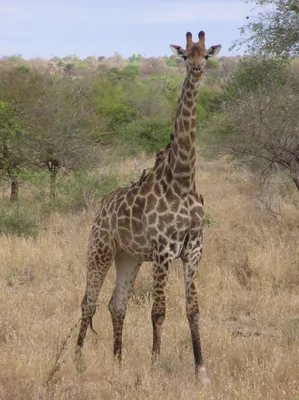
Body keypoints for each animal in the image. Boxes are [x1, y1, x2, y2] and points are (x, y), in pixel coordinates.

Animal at [76, 30, 221, 382]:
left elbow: (193, 310)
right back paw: (76, 360)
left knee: (116, 304)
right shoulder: (163, 251)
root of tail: (100, 206)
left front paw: (201, 371)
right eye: (184, 55)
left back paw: (117, 360)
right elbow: (159, 311)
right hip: (99, 249)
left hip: (128, 257)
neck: (183, 180)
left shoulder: (194, 250)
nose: (197, 71)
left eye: (206, 55)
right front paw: (156, 365)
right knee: (88, 301)